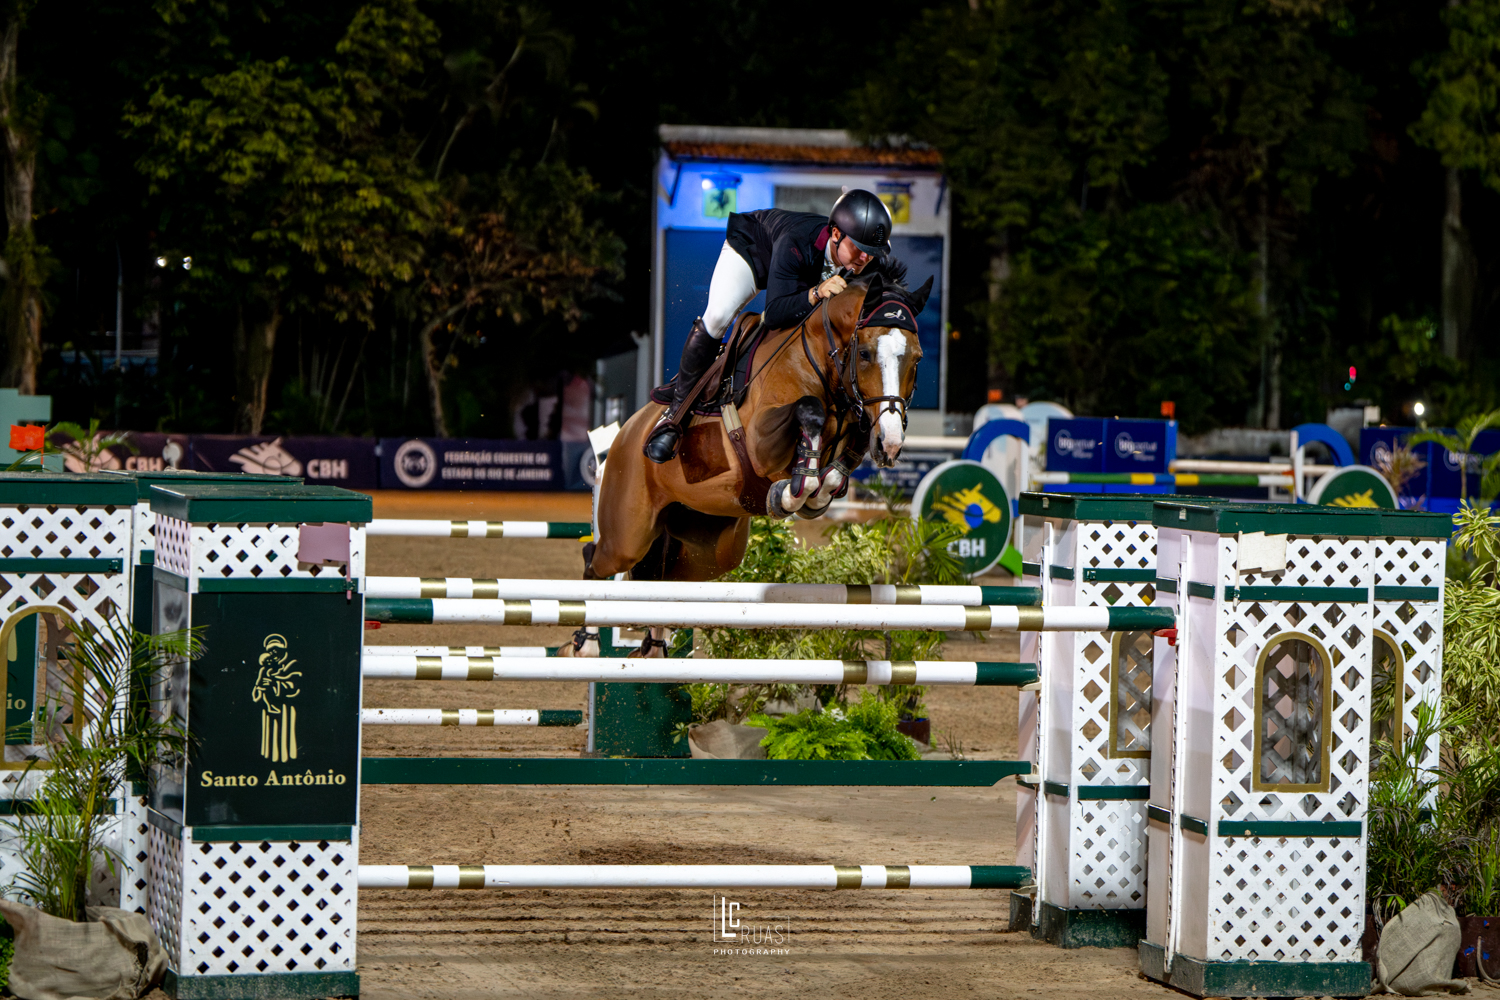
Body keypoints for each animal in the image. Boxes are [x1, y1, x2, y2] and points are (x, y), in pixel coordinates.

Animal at [582, 274, 924, 587]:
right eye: (864, 353)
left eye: (917, 358)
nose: (891, 445)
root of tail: (626, 431)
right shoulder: (761, 446)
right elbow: (808, 409)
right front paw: (790, 493)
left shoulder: (861, 422)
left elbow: (849, 449)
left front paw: (815, 494)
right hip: (627, 538)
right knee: (595, 559)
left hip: (704, 550)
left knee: (661, 575)